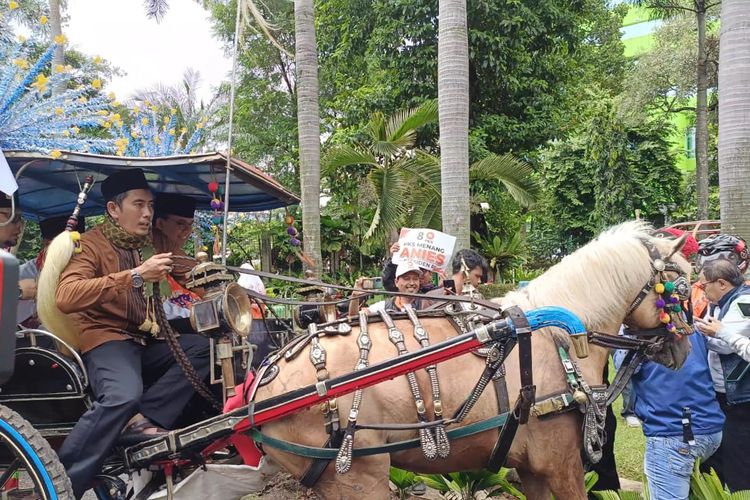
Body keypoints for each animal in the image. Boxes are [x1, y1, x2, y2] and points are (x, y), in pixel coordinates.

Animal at [254, 223, 692, 500]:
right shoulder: (562, 464)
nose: (684, 350)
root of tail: (262, 384)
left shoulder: (531, 468)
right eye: (682, 289)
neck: (555, 335)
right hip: (357, 476)